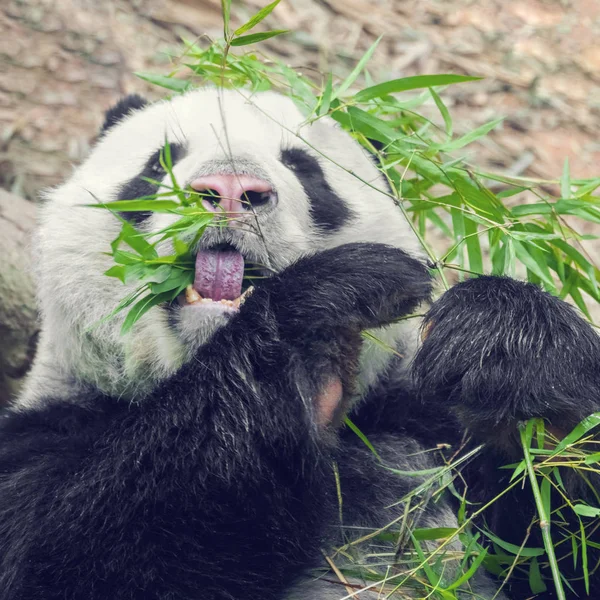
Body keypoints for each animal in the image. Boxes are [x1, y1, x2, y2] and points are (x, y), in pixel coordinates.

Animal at [0, 85, 596, 600]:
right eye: (158, 164)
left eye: (304, 169)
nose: (232, 190)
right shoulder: (50, 429)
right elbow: (78, 548)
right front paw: (327, 305)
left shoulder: (426, 429)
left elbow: (560, 542)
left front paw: (504, 348)